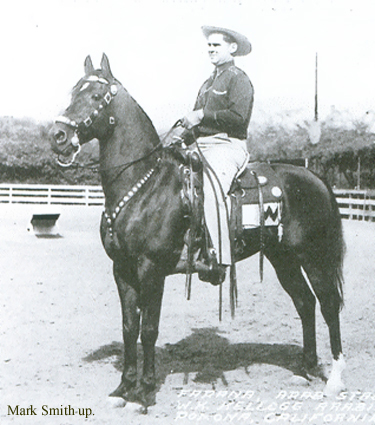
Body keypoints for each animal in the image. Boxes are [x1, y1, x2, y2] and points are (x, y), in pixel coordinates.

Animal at [50, 53, 346, 404]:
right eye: (72, 93)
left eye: (96, 96)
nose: (57, 136)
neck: (145, 183)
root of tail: (315, 178)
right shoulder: (121, 269)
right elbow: (129, 328)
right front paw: (124, 387)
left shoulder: (151, 268)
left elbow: (149, 329)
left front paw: (145, 390)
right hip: (282, 257)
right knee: (305, 303)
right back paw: (305, 369)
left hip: (314, 257)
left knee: (328, 305)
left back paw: (334, 379)